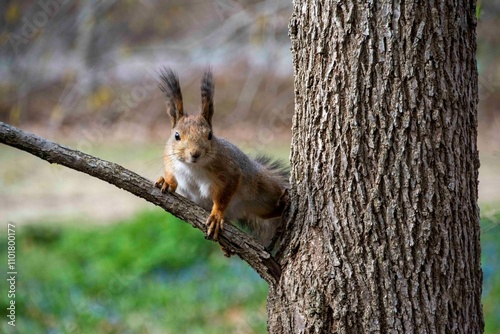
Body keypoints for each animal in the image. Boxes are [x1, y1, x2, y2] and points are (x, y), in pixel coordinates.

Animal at [156, 69, 290, 254]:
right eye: (176, 136)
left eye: (210, 135)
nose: (195, 153)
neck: (193, 167)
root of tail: (239, 211)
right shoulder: (169, 158)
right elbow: (170, 173)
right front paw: (167, 182)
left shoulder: (230, 171)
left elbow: (224, 195)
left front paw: (216, 215)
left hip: (262, 191)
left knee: (271, 208)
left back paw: (283, 202)